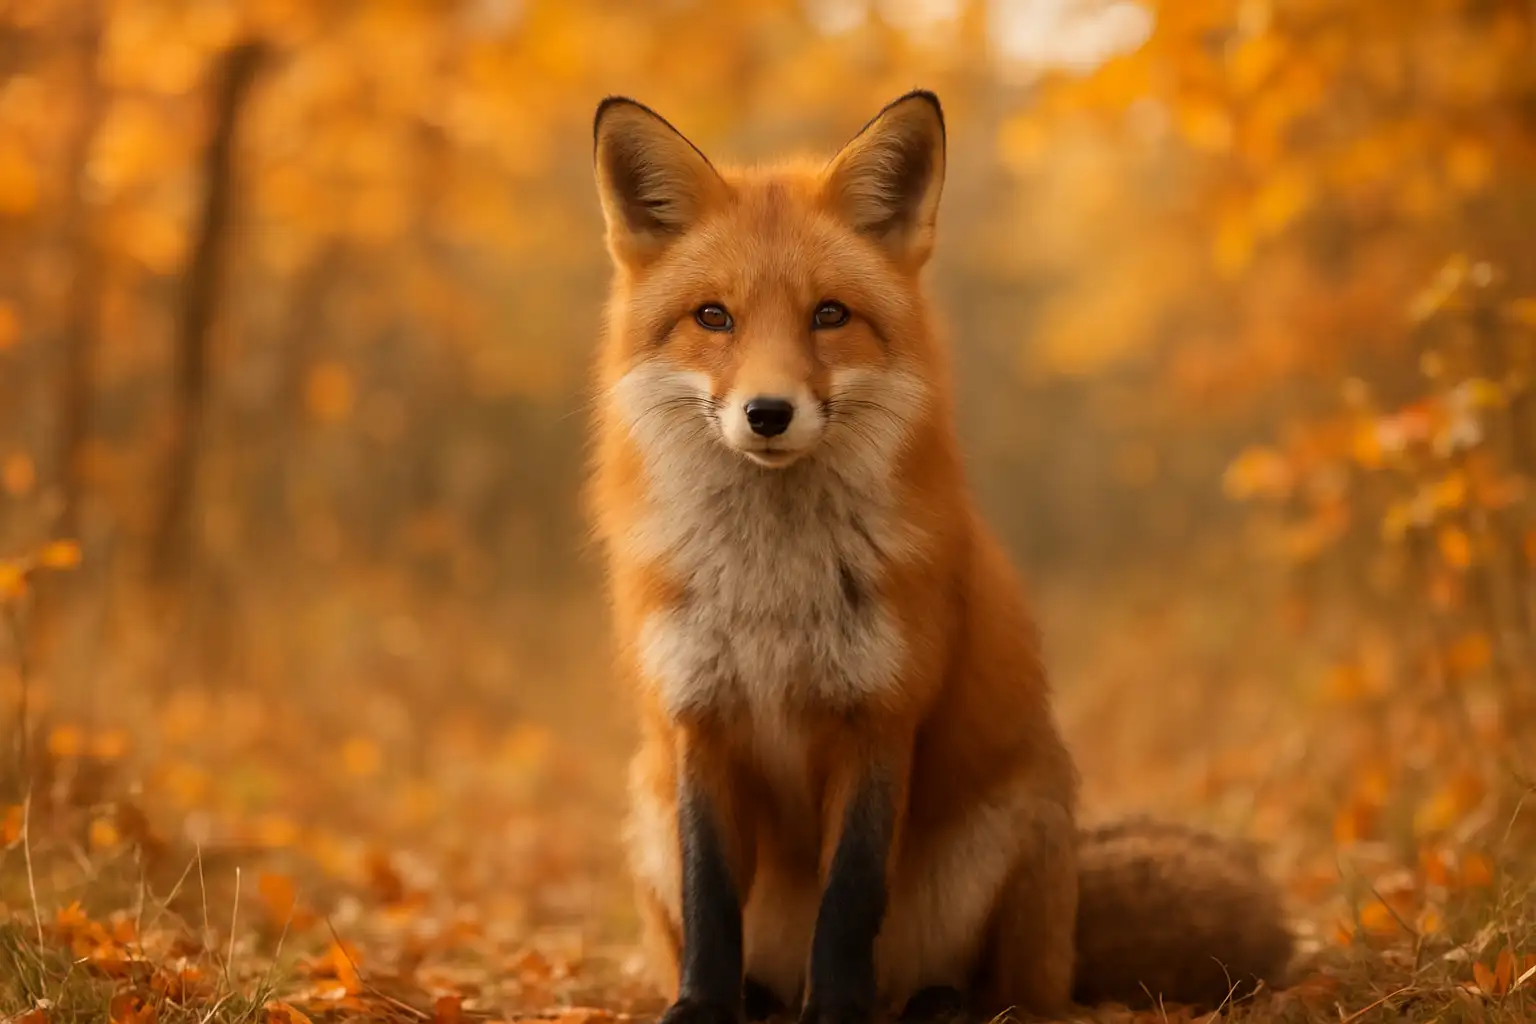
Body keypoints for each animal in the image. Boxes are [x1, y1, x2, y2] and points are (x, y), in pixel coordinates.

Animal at [584, 90, 1294, 1024]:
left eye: (829, 314)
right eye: (714, 317)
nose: (768, 413)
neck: (774, 591)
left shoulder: (883, 716)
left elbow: (851, 898)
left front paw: (837, 1012)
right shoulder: (696, 720)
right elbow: (710, 900)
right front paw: (703, 1008)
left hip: (1015, 823)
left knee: (1007, 994)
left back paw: (936, 1003)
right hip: (644, 801)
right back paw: (769, 1001)